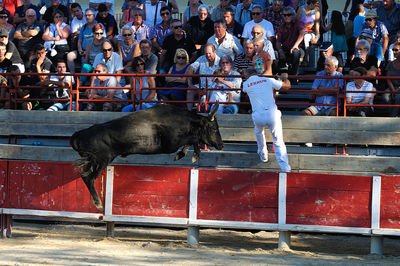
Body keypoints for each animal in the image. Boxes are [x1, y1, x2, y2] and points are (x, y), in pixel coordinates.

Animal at [70, 104, 223, 210]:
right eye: (214, 128)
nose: (221, 145)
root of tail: (81, 132)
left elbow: (193, 141)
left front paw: (190, 155)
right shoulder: (170, 145)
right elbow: (192, 139)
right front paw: (186, 155)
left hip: (96, 160)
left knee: (85, 175)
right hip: (101, 160)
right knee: (88, 178)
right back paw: (99, 204)